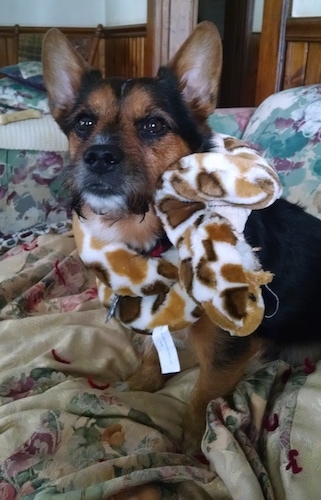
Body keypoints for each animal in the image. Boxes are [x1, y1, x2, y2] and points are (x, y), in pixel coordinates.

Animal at [41, 19, 320, 450]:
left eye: (154, 125)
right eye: (84, 123)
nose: (98, 156)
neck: (154, 239)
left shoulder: (228, 345)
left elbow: (204, 392)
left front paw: (195, 445)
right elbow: (153, 352)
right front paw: (141, 386)